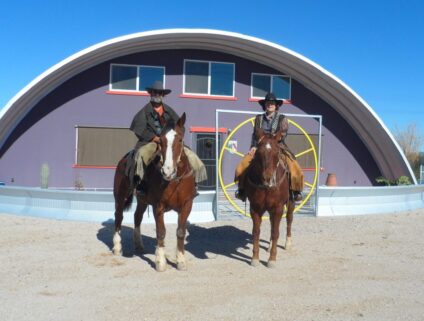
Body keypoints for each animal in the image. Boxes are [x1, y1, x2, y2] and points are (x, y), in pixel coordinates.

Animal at [113, 112, 198, 270]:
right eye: (161, 140)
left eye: (180, 139)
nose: (167, 171)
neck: (175, 180)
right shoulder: (158, 207)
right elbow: (161, 232)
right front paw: (160, 262)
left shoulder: (186, 205)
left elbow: (181, 232)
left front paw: (181, 261)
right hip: (120, 196)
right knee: (118, 217)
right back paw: (117, 247)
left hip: (142, 200)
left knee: (137, 216)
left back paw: (139, 245)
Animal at [245, 126, 294, 266]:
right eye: (258, 153)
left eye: (277, 153)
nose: (267, 178)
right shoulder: (255, 208)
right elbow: (256, 232)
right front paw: (255, 258)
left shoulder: (278, 208)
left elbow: (276, 232)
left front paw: (272, 259)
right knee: (273, 223)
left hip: (290, 203)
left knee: (289, 219)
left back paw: (288, 243)